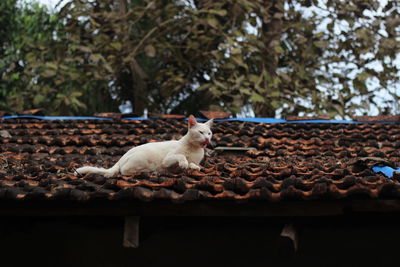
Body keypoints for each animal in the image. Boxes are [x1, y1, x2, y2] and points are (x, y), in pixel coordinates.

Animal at [75, 115, 212, 178]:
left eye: (209, 133)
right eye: (201, 132)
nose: (207, 139)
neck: (194, 149)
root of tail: (121, 158)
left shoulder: (195, 161)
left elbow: (194, 165)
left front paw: (193, 167)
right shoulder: (167, 160)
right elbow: (181, 156)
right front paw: (184, 163)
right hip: (141, 159)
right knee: (124, 170)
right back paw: (148, 171)